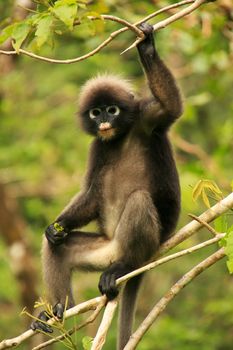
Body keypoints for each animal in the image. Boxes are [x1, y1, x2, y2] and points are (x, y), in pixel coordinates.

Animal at [31, 23, 183, 348]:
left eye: (112, 110)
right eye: (95, 112)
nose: (103, 121)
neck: (119, 137)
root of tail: (116, 249)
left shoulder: (148, 119)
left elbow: (171, 107)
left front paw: (147, 48)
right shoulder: (97, 147)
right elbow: (90, 194)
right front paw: (58, 226)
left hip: (143, 244)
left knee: (139, 200)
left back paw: (125, 268)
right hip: (101, 250)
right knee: (56, 246)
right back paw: (57, 314)